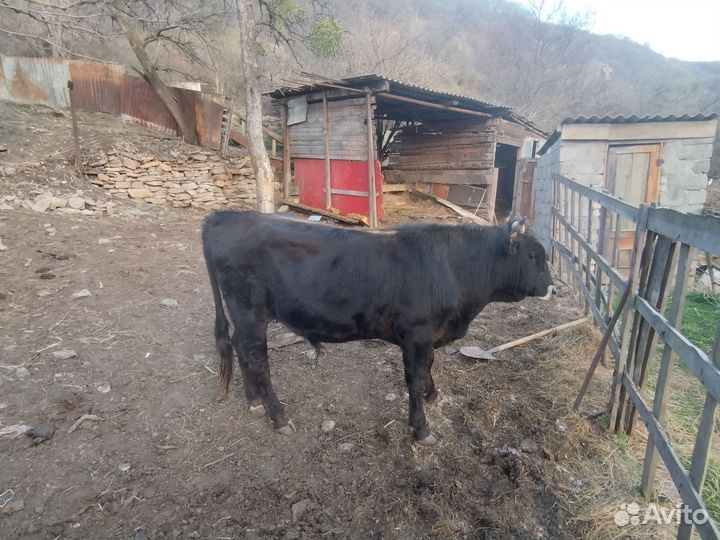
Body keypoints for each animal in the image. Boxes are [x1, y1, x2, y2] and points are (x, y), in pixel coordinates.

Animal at [202, 211, 555, 446]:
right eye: (533, 256)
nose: (553, 288)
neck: (452, 266)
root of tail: (226, 215)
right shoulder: (417, 334)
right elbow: (414, 378)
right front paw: (421, 428)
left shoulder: (428, 336)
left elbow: (428, 367)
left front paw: (433, 394)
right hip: (250, 311)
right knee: (257, 358)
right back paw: (278, 416)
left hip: (244, 315)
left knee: (241, 348)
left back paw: (253, 400)